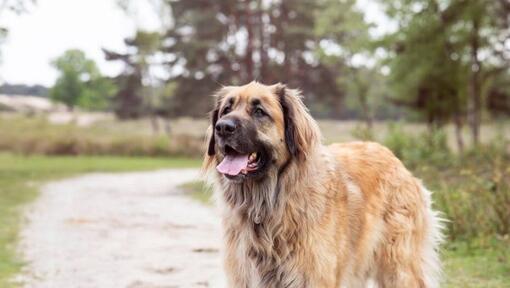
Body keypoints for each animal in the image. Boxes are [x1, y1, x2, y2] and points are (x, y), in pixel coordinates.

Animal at [203, 81, 442, 288]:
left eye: (259, 111)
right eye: (226, 110)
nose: (222, 128)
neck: (268, 203)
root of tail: (396, 161)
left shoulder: (313, 276)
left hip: (399, 268)